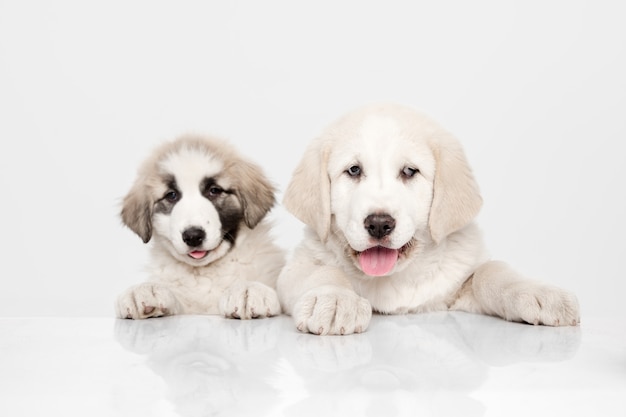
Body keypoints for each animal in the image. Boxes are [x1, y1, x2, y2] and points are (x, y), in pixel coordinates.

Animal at [114, 135, 282, 320]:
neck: (204, 273)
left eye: (214, 190)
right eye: (171, 195)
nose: (193, 236)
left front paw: (248, 289)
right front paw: (144, 290)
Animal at [276, 104, 576, 334]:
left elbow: (491, 271)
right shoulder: (296, 268)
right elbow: (324, 272)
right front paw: (334, 300)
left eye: (410, 171)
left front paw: (537, 292)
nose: (379, 224)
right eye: (353, 170)